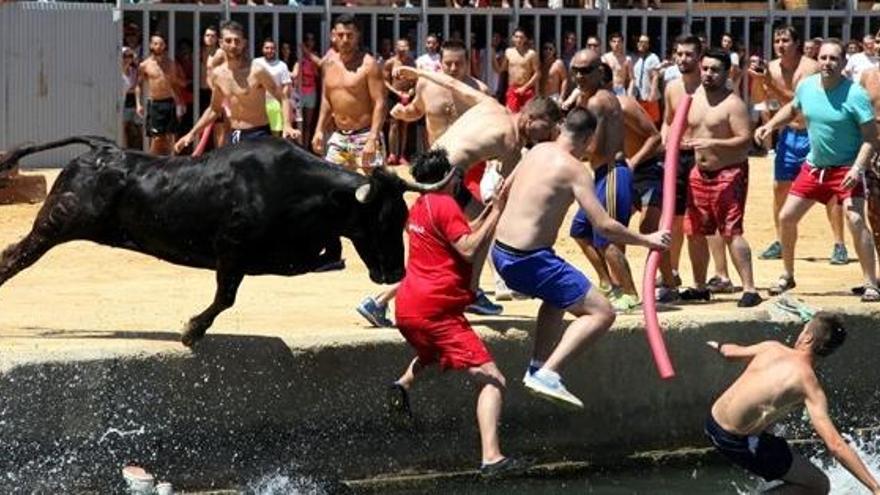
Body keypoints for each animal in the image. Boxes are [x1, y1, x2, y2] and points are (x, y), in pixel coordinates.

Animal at [0, 136, 450, 344]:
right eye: (382, 219)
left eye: (404, 218)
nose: (395, 271)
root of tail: (100, 148)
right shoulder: (231, 252)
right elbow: (226, 296)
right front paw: (191, 330)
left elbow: (321, 253)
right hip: (55, 225)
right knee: (15, 256)